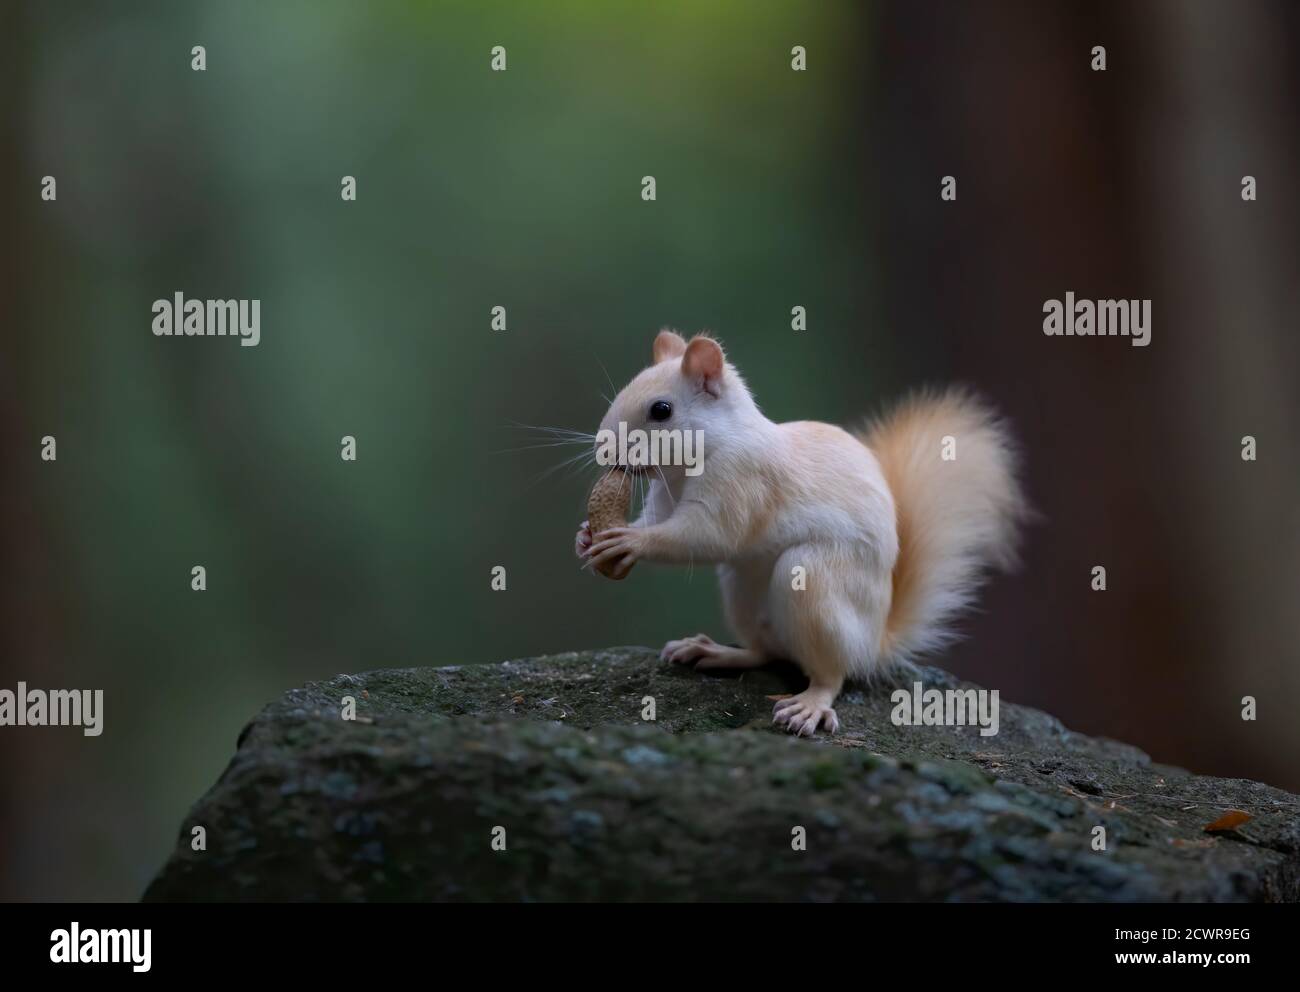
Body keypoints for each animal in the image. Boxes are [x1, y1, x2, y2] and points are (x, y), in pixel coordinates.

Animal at [576, 329, 1027, 737]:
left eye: (662, 410)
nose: (603, 449)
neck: (701, 454)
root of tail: (874, 643)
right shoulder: (666, 497)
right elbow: (657, 520)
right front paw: (586, 536)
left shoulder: (742, 481)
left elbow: (707, 535)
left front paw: (629, 541)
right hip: (741, 588)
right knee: (765, 651)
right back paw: (714, 651)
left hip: (813, 581)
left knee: (831, 674)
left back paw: (810, 704)